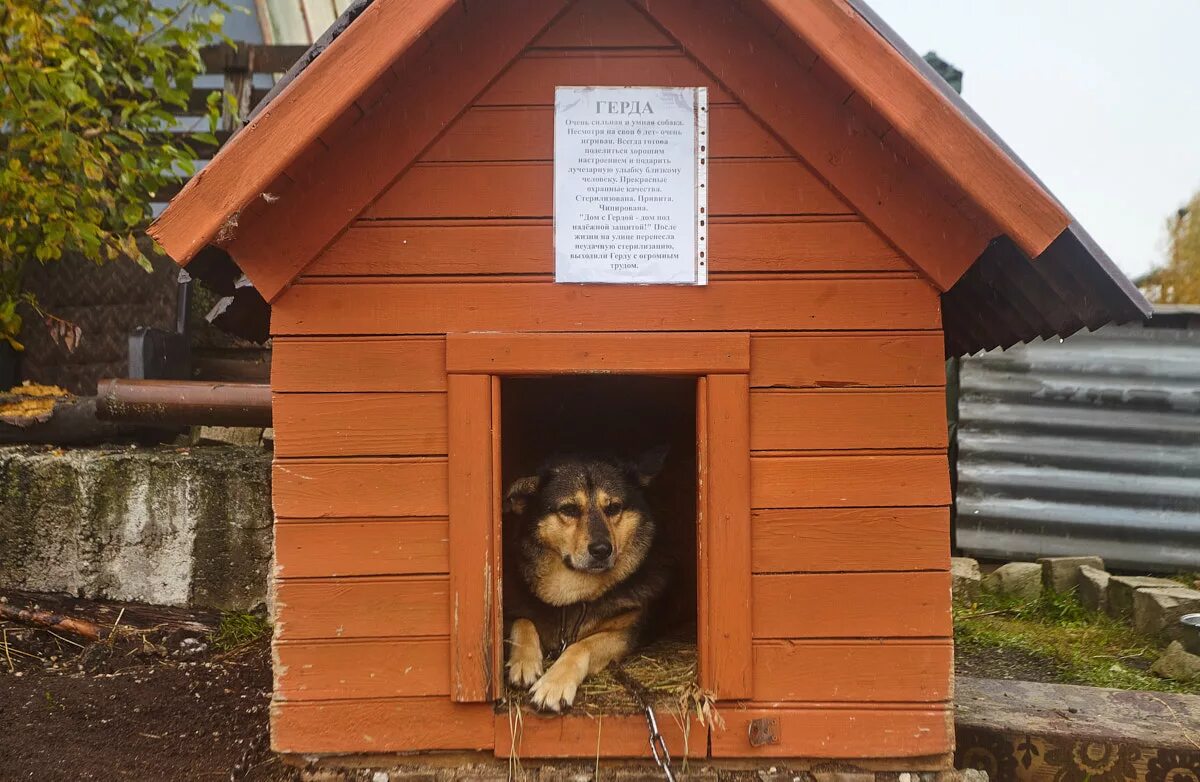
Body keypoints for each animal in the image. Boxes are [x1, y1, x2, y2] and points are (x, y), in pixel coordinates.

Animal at [501, 443, 672, 710]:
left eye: (613, 508)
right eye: (569, 509)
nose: (602, 550)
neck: (575, 595)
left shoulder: (626, 631)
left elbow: (582, 646)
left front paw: (554, 684)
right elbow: (523, 621)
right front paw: (524, 663)